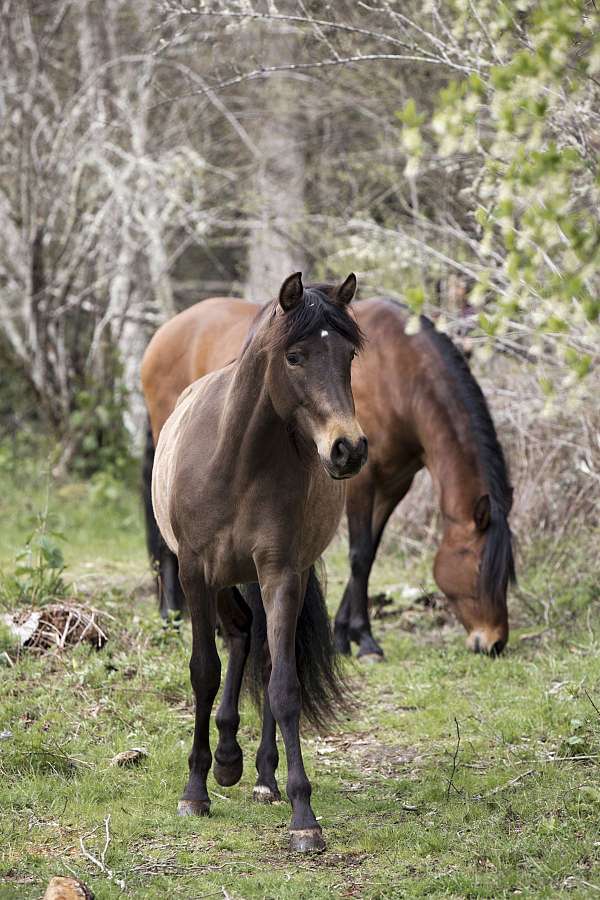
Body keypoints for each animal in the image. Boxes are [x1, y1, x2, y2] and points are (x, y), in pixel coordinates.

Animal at [142, 292, 516, 656]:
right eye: (480, 569)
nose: (493, 642)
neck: (399, 373)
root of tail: (164, 332)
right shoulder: (361, 481)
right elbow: (359, 555)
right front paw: (363, 639)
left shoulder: (393, 485)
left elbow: (369, 553)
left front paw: (343, 632)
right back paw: (170, 617)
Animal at [150, 272, 366, 852]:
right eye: (295, 356)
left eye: (349, 355)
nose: (349, 449)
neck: (237, 461)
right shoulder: (195, 573)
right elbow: (204, 671)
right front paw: (195, 789)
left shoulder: (281, 573)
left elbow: (284, 686)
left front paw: (304, 815)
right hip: (222, 581)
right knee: (241, 634)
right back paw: (227, 760)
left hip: (266, 580)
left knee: (265, 653)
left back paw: (263, 776)